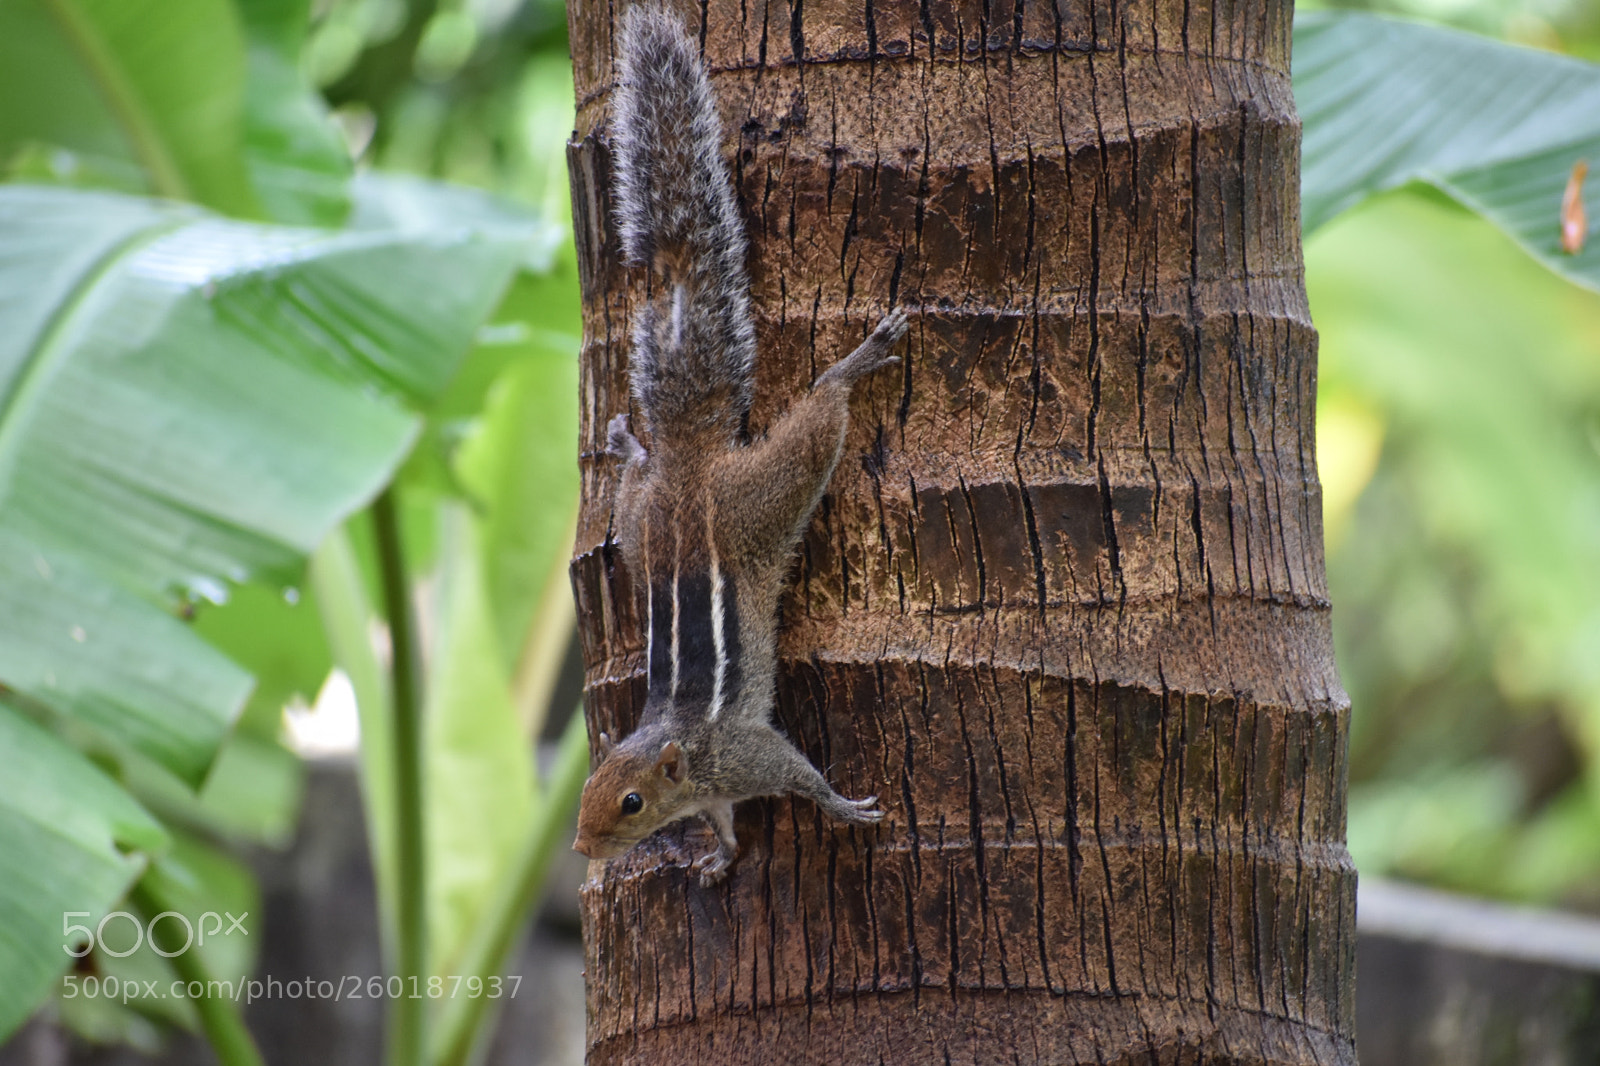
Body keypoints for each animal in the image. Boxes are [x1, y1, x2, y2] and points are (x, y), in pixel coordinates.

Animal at [572, 3, 908, 887]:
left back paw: (852, 364)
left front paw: (840, 806)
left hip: (767, 493)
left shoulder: (745, 753)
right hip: (639, 528)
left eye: (630, 804)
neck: (683, 752)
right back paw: (626, 445)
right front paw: (720, 858)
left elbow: (797, 774)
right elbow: (723, 823)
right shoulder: (720, 787)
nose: (581, 847)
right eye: (586, 786)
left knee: (819, 422)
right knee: (640, 480)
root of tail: (691, 463)